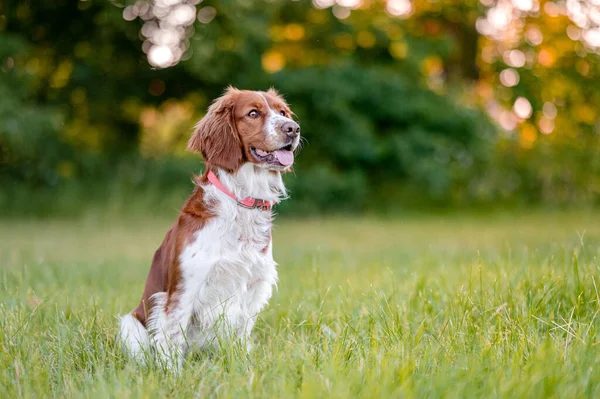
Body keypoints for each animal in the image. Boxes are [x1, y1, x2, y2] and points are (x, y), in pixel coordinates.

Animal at [118, 87, 300, 368]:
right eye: (253, 113)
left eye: (283, 112)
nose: (293, 129)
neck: (241, 201)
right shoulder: (184, 290)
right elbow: (172, 340)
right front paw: (172, 375)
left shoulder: (252, 289)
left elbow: (241, 336)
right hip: (130, 323)